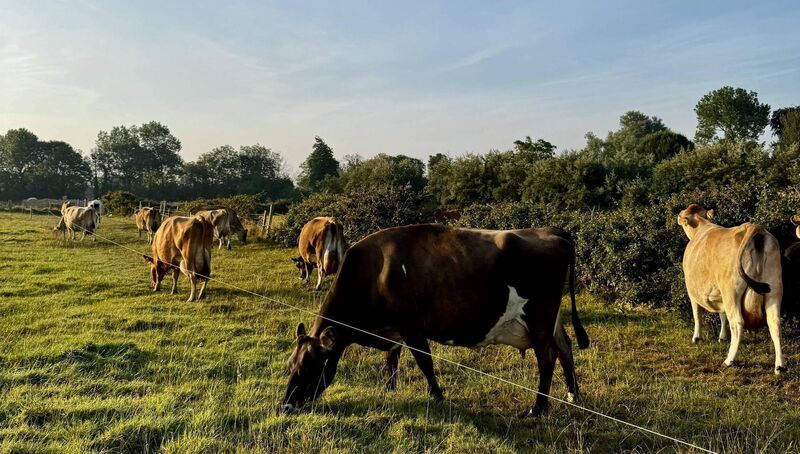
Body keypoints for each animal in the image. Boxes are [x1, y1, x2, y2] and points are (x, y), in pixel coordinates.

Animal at [280, 224, 590, 417]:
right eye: (290, 366)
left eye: (311, 366)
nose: (285, 406)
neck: (374, 271)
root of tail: (551, 232)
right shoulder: (394, 331)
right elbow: (392, 360)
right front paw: (389, 390)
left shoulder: (412, 326)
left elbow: (424, 361)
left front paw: (437, 396)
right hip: (551, 320)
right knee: (565, 346)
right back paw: (573, 394)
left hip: (539, 317)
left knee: (547, 356)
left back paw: (538, 409)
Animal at [677, 204, 785, 374]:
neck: (701, 227)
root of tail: (753, 227)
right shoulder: (718, 291)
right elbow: (722, 314)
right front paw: (722, 337)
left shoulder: (692, 290)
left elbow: (697, 314)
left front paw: (697, 337)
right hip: (774, 288)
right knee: (775, 322)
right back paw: (779, 366)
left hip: (731, 290)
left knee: (737, 322)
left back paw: (729, 360)